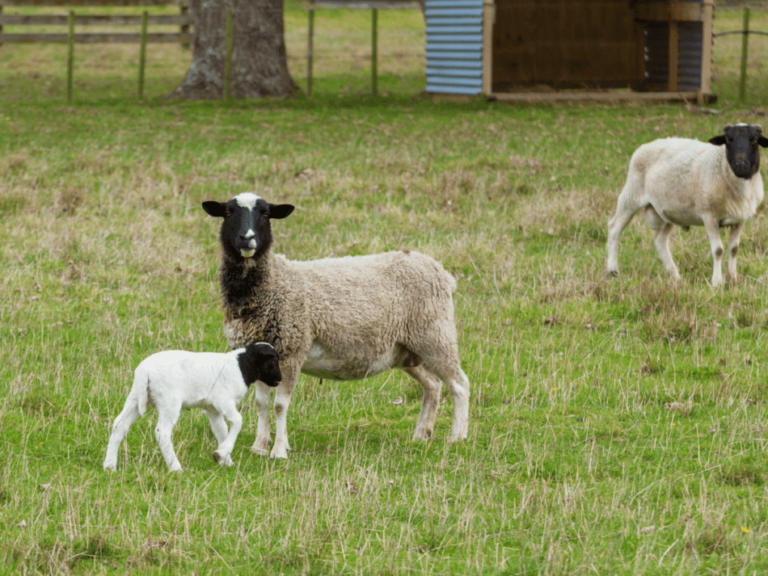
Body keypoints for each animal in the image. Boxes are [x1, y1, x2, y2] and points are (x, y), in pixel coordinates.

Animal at [103, 342, 280, 472]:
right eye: (273, 360)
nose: (279, 379)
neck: (241, 366)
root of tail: (145, 371)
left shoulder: (212, 410)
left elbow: (221, 431)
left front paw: (225, 460)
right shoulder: (224, 401)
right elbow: (237, 421)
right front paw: (222, 453)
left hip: (135, 397)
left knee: (119, 425)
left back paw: (110, 465)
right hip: (169, 401)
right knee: (162, 432)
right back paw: (175, 467)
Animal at [201, 192, 472, 460]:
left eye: (266, 214)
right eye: (228, 213)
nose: (247, 239)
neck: (272, 282)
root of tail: (442, 272)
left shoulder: (291, 350)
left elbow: (279, 405)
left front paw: (278, 451)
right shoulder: (260, 354)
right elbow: (262, 403)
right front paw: (259, 446)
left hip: (435, 334)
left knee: (459, 384)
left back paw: (457, 437)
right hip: (406, 350)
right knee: (433, 385)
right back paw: (421, 434)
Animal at [608, 126, 768, 288]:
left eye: (754, 140)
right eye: (728, 140)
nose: (740, 165)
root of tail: (645, 145)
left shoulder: (740, 219)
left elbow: (734, 249)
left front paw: (733, 279)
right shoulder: (708, 215)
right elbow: (718, 250)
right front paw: (717, 282)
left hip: (668, 211)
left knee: (659, 239)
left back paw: (675, 275)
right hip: (631, 195)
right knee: (615, 228)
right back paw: (612, 270)